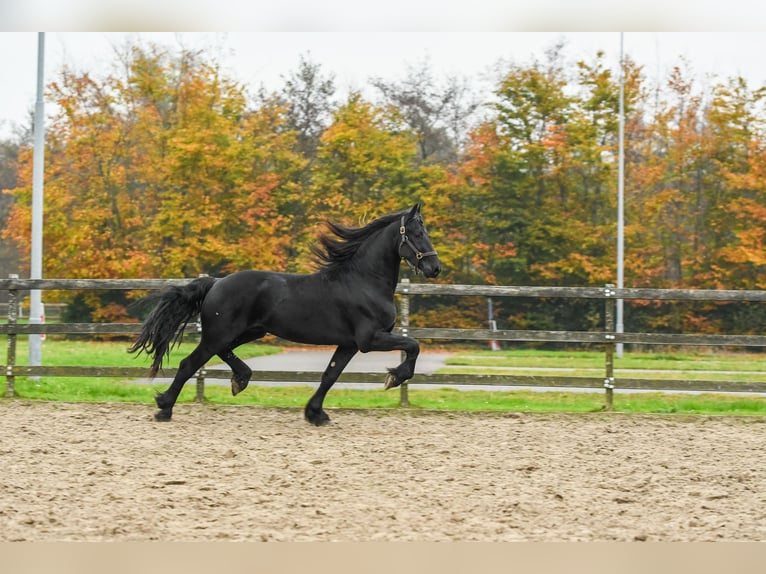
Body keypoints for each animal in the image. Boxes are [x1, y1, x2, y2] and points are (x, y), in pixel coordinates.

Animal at [128, 205, 440, 426]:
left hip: (248, 331)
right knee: (189, 363)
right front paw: (394, 377)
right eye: (416, 233)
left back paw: (240, 379)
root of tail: (216, 282)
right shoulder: (370, 339)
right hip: (221, 333)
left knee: (220, 354)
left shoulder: (349, 344)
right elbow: (413, 345)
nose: (435, 268)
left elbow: (330, 375)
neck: (364, 281)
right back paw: (164, 407)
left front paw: (315, 414)